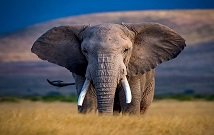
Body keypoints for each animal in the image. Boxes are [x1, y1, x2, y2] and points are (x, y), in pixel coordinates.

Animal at [31, 23, 186, 115]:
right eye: (85, 51)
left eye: (126, 50)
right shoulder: (80, 69)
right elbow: (87, 102)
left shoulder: (134, 70)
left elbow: (131, 105)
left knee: (142, 108)